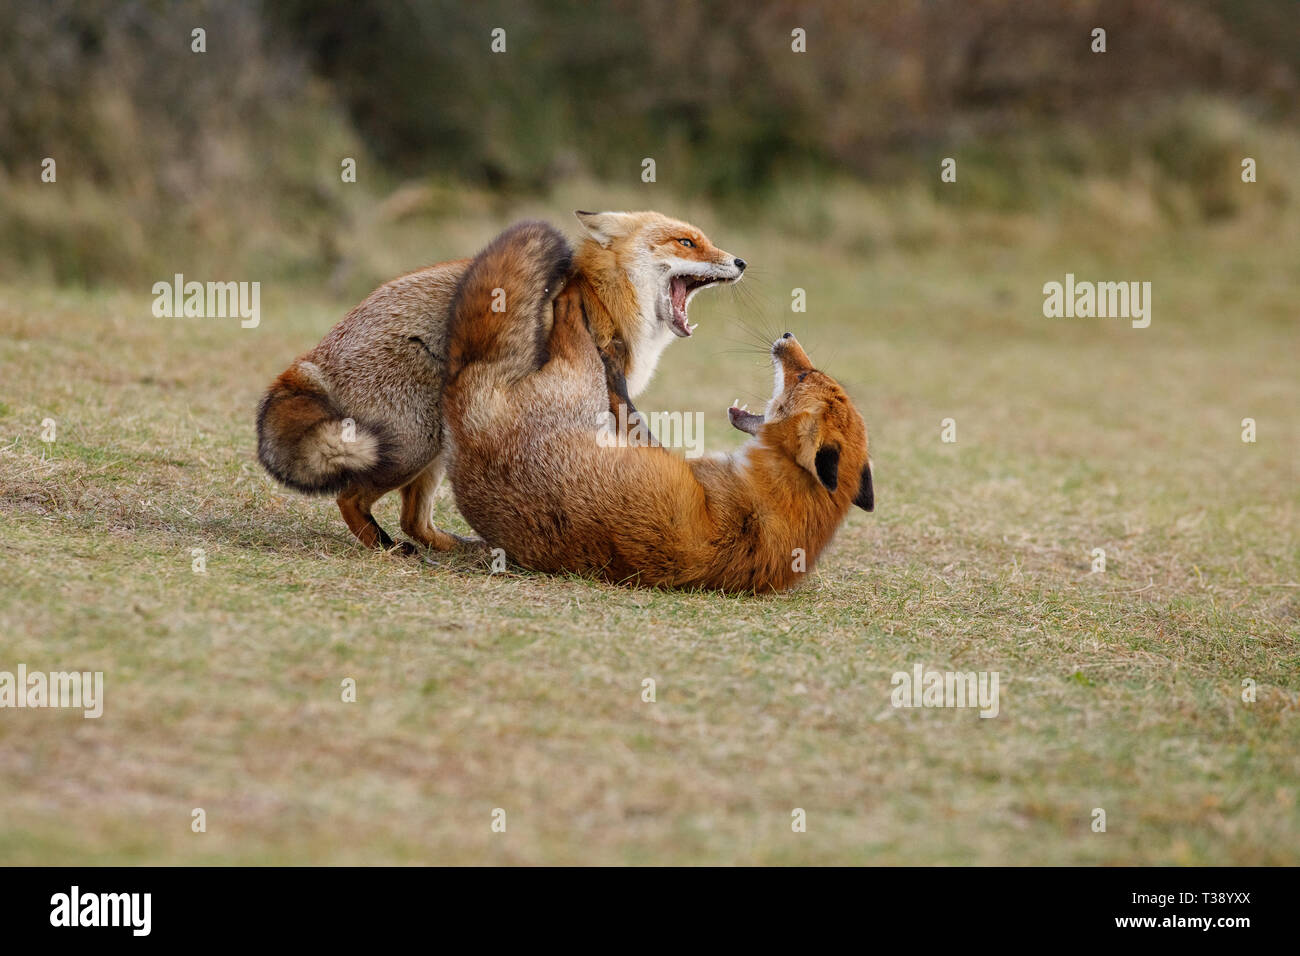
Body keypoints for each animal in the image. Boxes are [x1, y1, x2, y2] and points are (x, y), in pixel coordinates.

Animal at [255, 210, 745, 552]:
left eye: (704, 240)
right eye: (687, 242)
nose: (740, 261)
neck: (602, 294)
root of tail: (309, 361)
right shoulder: (607, 386)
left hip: (439, 447)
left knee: (414, 519)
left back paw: (454, 547)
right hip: (414, 443)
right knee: (351, 499)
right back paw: (386, 548)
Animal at [443, 221, 874, 594]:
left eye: (803, 376)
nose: (787, 334)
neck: (787, 498)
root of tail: (472, 436)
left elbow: (627, 407)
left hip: (579, 378)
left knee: (575, 330)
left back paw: (576, 303)